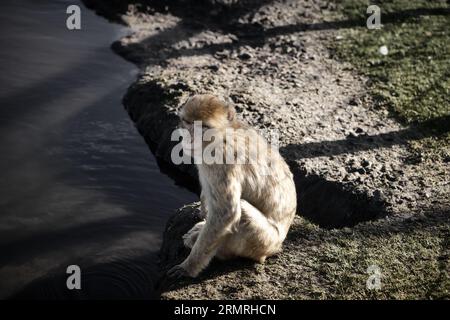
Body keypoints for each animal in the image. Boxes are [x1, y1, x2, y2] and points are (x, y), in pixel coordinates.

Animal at [167, 94, 298, 278]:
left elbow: (226, 213)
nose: (191, 137)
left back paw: (220, 252)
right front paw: (203, 213)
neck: (220, 136)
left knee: (243, 213)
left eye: (204, 127)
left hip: (263, 241)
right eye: (187, 122)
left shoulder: (222, 160)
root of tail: (277, 246)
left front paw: (188, 267)